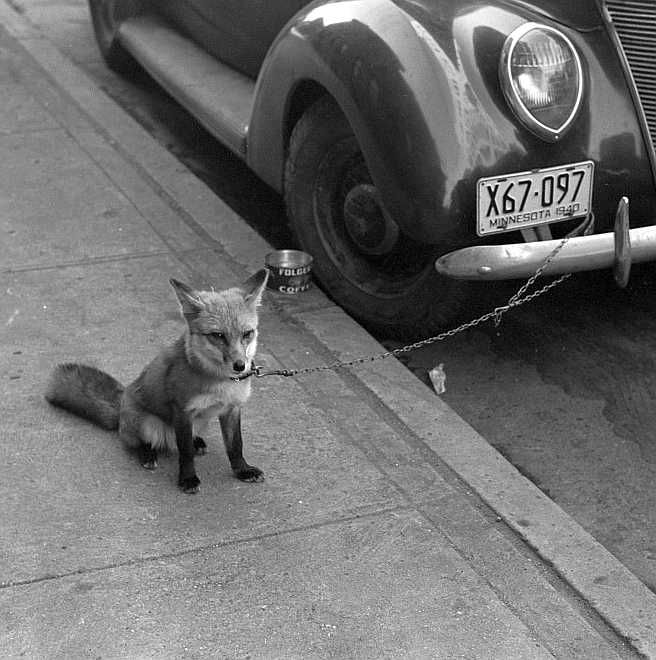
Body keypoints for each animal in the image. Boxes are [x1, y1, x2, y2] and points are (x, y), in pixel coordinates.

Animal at [45, 270, 270, 492]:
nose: (240, 365)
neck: (221, 382)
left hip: (199, 421)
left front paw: (242, 470)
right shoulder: (182, 410)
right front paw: (188, 479)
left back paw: (197, 442)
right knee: (141, 442)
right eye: (218, 335)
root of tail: (121, 407)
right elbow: (185, 452)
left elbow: (235, 446)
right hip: (148, 423)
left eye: (247, 334)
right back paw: (147, 454)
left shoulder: (232, 409)